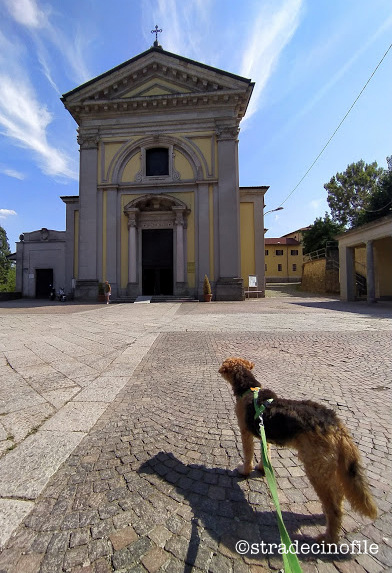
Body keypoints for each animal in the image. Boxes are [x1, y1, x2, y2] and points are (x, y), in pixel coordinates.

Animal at [219, 356, 378, 544]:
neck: (249, 389)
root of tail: (336, 425)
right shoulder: (264, 433)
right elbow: (266, 453)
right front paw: (262, 468)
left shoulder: (245, 433)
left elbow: (248, 454)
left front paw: (244, 471)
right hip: (330, 469)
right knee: (338, 497)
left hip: (316, 470)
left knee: (334, 507)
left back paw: (327, 538)